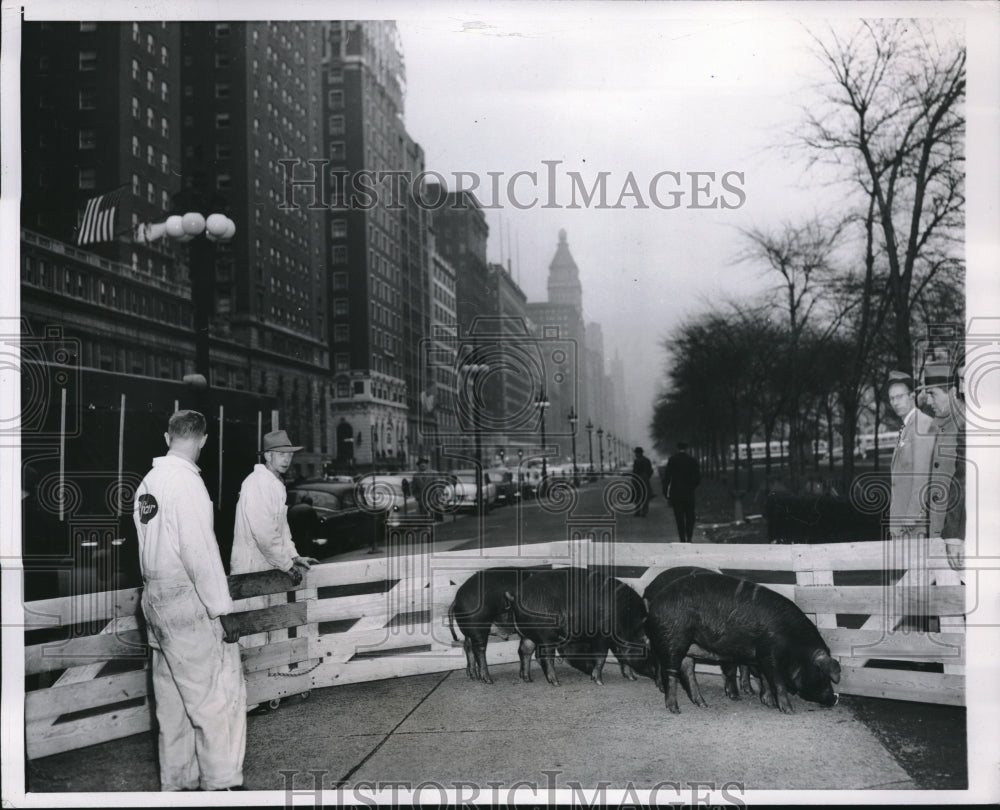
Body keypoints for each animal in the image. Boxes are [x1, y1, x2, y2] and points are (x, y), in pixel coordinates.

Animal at [500, 564, 656, 684]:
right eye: (648, 645)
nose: (657, 676)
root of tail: (515, 596)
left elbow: (622, 658)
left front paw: (632, 678)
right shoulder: (601, 637)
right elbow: (601, 656)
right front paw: (599, 681)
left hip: (526, 634)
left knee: (524, 650)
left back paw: (528, 679)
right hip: (546, 635)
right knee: (544, 656)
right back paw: (556, 682)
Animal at [644, 564, 840, 712]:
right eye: (824, 676)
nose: (835, 698)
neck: (794, 644)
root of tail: (654, 601)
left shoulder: (760, 657)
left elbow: (763, 678)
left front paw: (768, 703)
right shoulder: (769, 654)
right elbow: (776, 681)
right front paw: (788, 710)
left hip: (689, 645)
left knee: (687, 671)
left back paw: (703, 704)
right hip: (673, 640)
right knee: (671, 672)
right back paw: (674, 709)